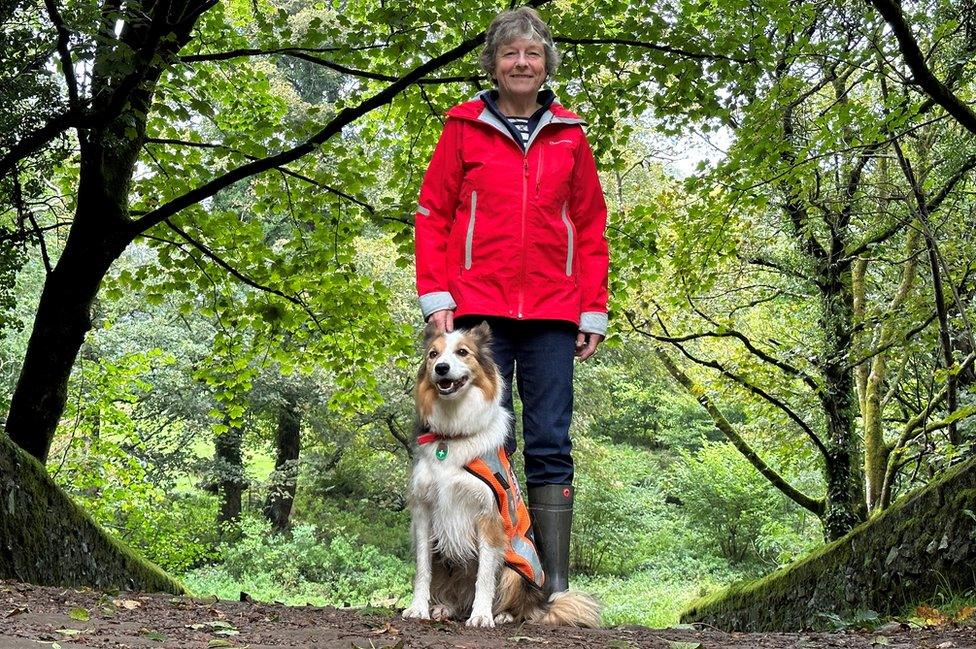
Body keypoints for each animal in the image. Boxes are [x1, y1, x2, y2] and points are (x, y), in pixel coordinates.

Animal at [400, 322, 600, 624]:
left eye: (462, 352)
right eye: (433, 354)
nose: (442, 368)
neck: (454, 434)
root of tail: (541, 602)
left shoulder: (489, 518)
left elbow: (484, 575)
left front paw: (482, 616)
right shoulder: (424, 512)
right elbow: (423, 569)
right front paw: (418, 608)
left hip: (515, 569)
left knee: (519, 605)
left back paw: (503, 614)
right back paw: (446, 607)